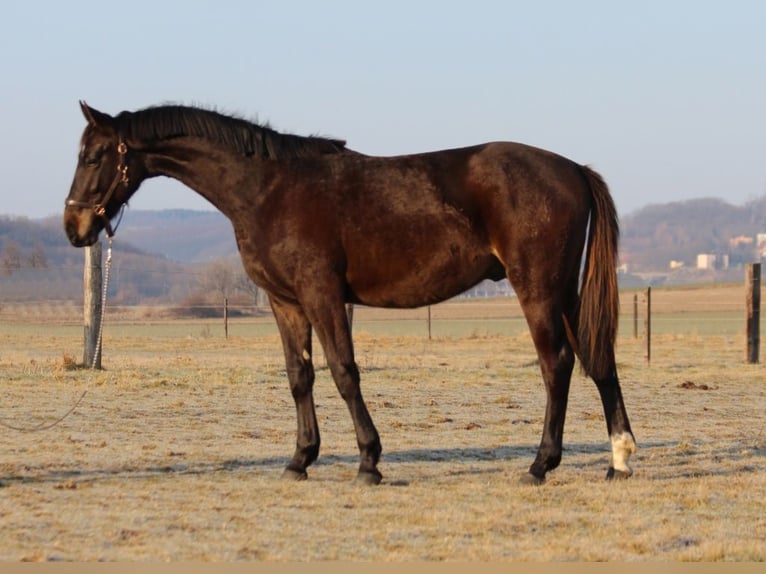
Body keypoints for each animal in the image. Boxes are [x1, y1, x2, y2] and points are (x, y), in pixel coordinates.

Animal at [64, 102, 636, 486]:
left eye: (94, 155)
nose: (74, 227)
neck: (268, 189)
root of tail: (573, 169)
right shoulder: (286, 303)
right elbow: (299, 377)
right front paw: (300, 460)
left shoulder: (322, 295)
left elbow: (343, 372)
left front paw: (368, 462)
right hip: (564, 292)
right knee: (596, 358)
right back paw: (619, 459)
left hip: (537, 288)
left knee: (556, 365)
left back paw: (541, 464)